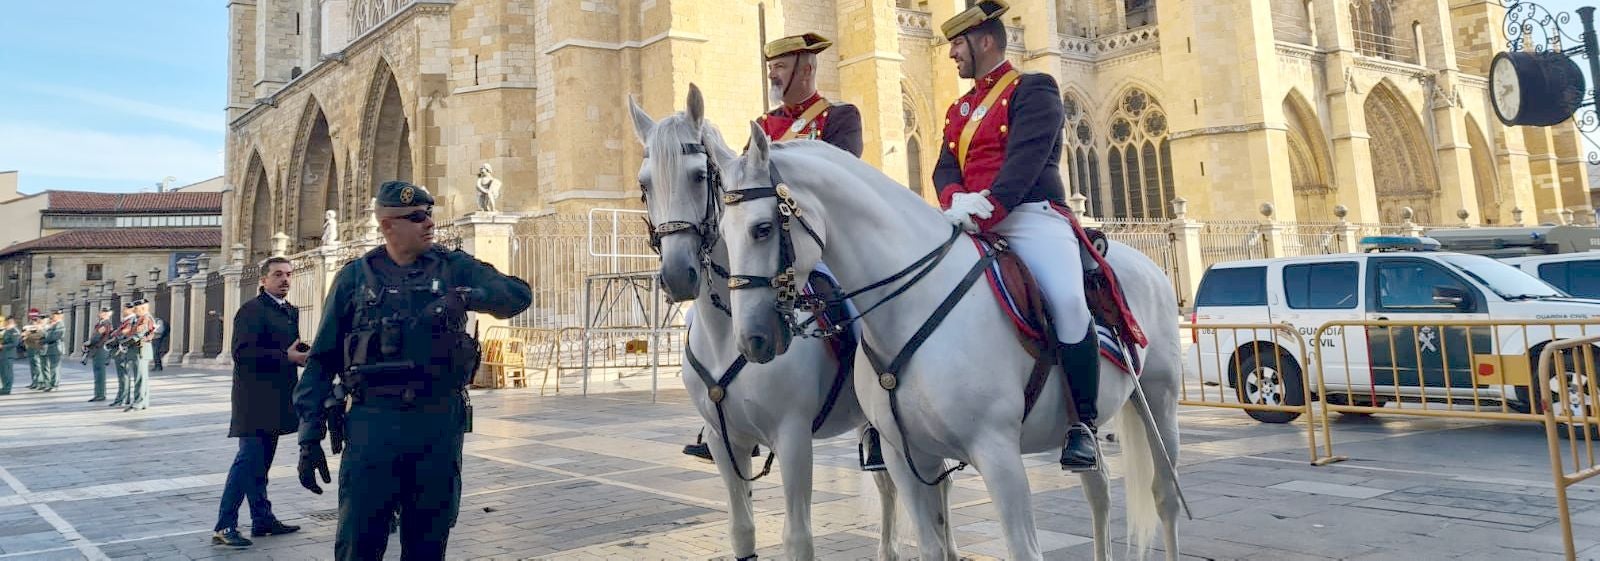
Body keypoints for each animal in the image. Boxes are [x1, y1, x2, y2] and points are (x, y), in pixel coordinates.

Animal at [627, 89, 902, 561]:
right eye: (645, 185)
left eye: (698, 176)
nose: (678, 275)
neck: (725, 335)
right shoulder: (725, 442)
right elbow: (742, 529)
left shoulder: (793, 438)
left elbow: (798, 539)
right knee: (887, 485)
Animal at [720, 125, 1184, 559]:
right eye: (722, 233)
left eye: (762, 229)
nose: (752, 339)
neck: (910, 306)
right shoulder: (906, 457)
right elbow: (931, 545)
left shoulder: (998, 454)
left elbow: (1025, 549)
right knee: (1099, 488)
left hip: (1158, 401)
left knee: (1165, 496)